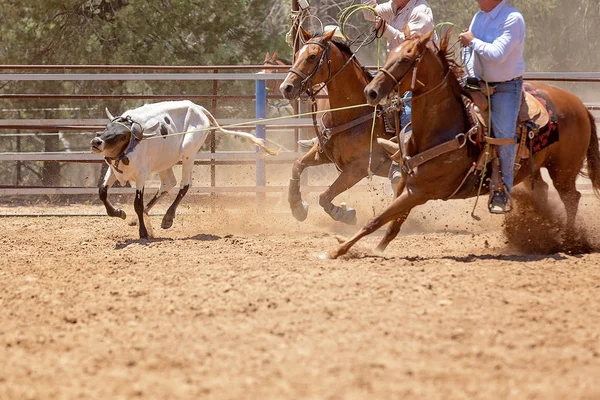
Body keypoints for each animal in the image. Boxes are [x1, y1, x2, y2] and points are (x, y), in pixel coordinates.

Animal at [91, 100, 276, 239]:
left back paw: (167, 218)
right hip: (164, 161)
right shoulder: (113, 170)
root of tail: (197, 108)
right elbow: (102, 192)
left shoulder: (141, 175)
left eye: (122, 136)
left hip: (188, 153)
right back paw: (143, 216)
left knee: (184, 184)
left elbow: (137, 203)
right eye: (107, 128)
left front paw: (143, 233)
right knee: (168, 184)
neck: (129, 148)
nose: (96, 142)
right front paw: (119, 212)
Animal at [280, 29, 396, 225]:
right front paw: (297, 207)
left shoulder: (358, 168)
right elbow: (297, 165)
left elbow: (325, 196)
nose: (286, 87)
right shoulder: (323, 153)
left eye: (312, 56)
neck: (354, 114)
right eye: (296, 55)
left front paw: (345, 214)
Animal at [324, 28, 600, 260]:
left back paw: (568, 240)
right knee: (543, 190)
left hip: (563, 170)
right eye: (390, 52)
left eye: (406, 59)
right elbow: (393, 223)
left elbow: (378, 220)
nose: (370, 92)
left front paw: (337, 250)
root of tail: (579, 104)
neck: (441, 129)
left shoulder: (419, 191)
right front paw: (377, 248)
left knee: (572, 198)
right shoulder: (407, 183)